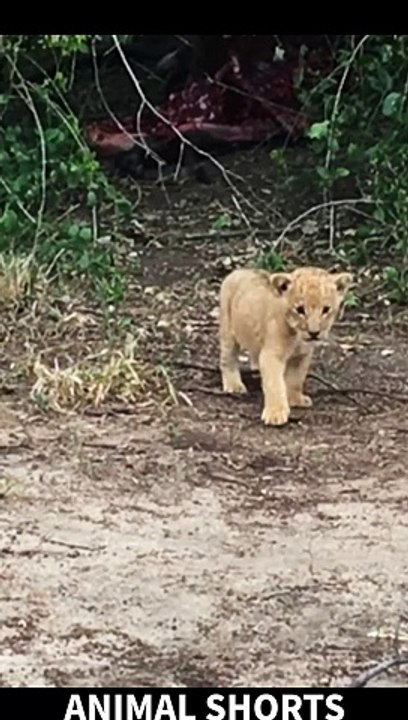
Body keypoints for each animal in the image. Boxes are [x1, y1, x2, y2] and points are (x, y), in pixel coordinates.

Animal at [219, 266, 353, 426]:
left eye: (326, 309)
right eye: (300, 309)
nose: (314, 333)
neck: (298, 337)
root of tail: (238, 271)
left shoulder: (302, 356)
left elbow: (296, 379)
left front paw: (295, 400)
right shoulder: (272, 355)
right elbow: (275, 384)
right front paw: (275, 414)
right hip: (228, 331)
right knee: (228, 359)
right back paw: (234, 385)